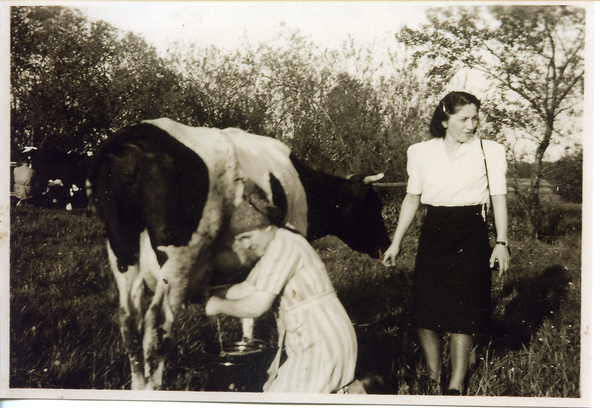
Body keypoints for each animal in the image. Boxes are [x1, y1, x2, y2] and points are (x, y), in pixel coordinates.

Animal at [86, 118, 392, 388]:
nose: (387, 247)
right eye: (372, 205)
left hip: (123, 256)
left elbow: (249, 315)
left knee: (129, 322)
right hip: (177, 261)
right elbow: (277, 314)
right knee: (157, 326)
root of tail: (132, 138)